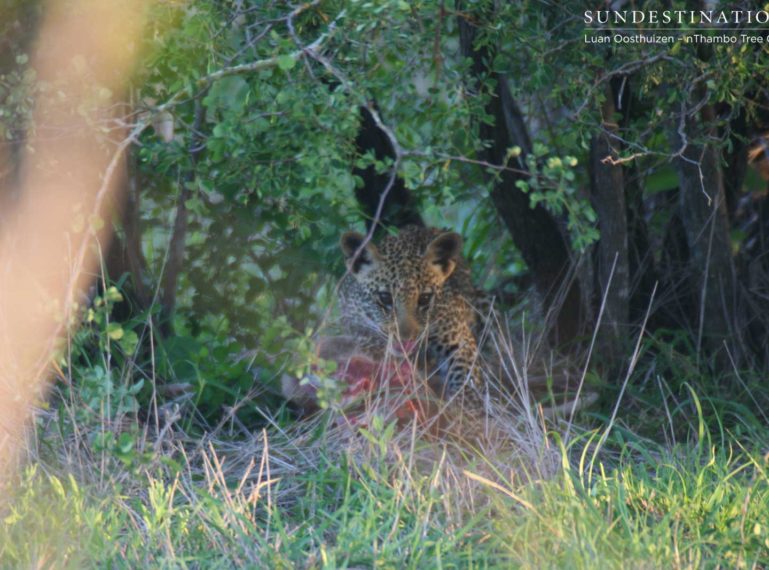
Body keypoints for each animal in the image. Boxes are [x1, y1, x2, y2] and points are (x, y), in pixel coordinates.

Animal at [336, 224, 486, 406]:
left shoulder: (459, 338)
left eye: (425, 298)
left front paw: (465, 407)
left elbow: (466, 378)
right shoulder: (354, 325)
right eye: (385, 297)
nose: (405, 340)